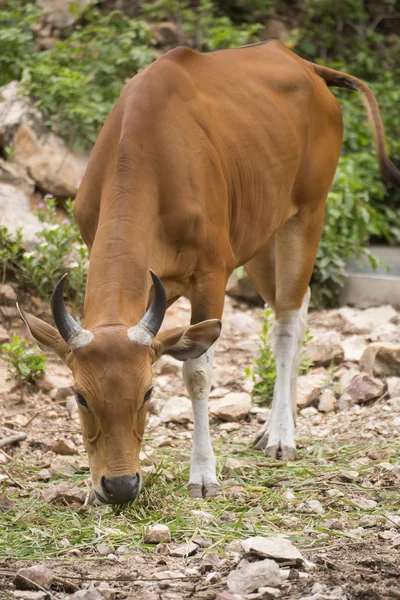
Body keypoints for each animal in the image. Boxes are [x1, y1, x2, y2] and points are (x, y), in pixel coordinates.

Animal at [18, 39, 400, 504]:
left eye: (148, 392)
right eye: (80, 397)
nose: (121, 486)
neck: (146, 154)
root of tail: (305, 65)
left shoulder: (212, 272)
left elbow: (197, 373)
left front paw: (203, 473)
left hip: (307, 215)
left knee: (287, 321)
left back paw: (282, 436)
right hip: (260, 236)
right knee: (296, 305)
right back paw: (278, 423)